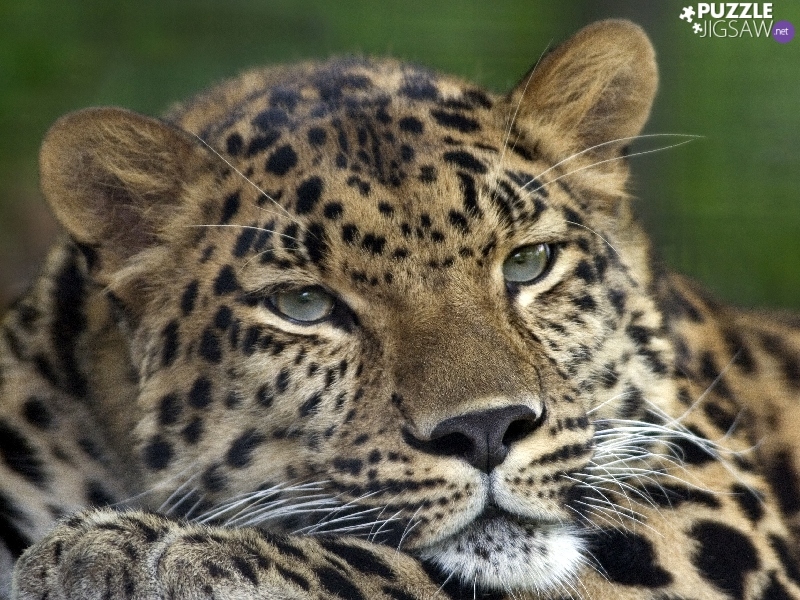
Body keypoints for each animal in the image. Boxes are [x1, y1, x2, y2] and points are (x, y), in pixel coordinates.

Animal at [2, 18, 800, 600]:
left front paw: (136, 551)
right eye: (304, 304)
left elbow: (389, 566)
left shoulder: (710, 505)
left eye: (528, 263)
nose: (486, 431)